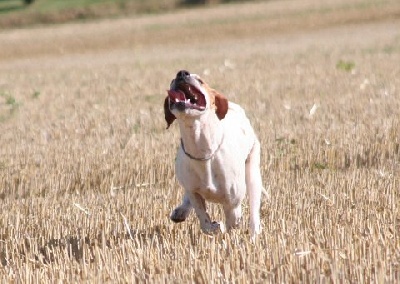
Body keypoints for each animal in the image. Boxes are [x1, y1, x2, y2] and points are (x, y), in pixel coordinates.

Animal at [164, 69, 264, 240]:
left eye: (200, 80)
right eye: (171, 81)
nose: (182, 73)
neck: (202, 150)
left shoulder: (232, 203)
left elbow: (233, 222)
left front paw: (224, 230)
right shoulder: (194, 193)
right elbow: (205, 223)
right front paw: (216, 226)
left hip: (253, 173)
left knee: (254, 210)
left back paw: (254, 234)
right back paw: (181, 211)